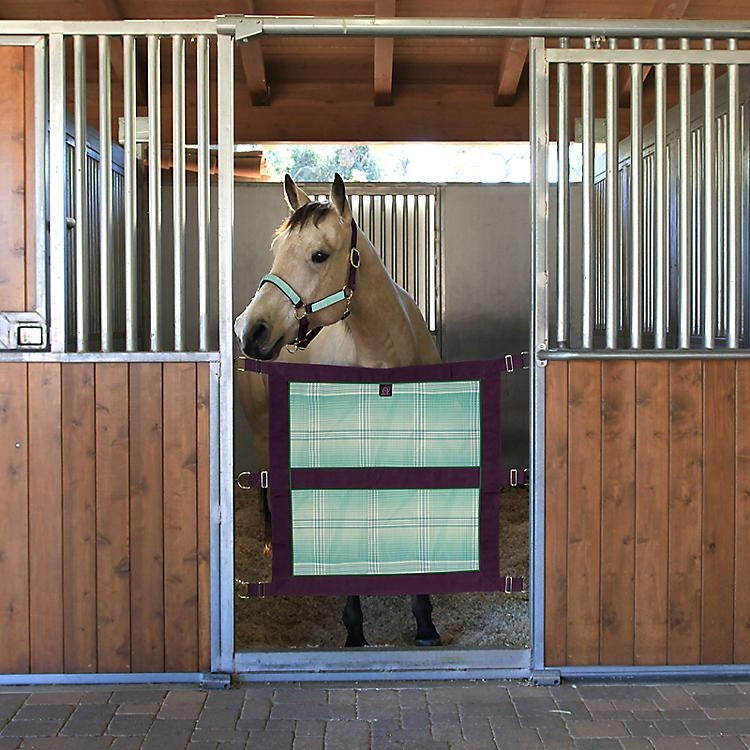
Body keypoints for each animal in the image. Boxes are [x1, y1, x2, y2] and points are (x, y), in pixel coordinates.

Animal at [235, 173, 444, 648]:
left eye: (318, 254)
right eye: (277, 250)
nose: (250, 330)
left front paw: (424, 621)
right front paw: (354, 628)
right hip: (262, 432)